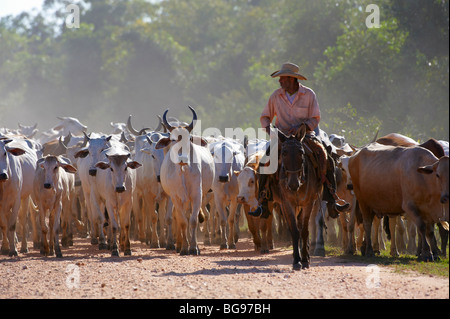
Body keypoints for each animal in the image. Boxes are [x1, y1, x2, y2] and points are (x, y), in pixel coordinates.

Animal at [156, 108, 215, 258]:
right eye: (173, 139)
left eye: (189, 139)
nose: (182, 159)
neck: (183, 171)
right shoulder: (175, 198)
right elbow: (182, 222)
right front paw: (184, 248)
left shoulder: (197, 195)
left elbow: (193, 221)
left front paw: (194, 248)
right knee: (182, 218)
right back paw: (180, 244)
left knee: (190, 217)